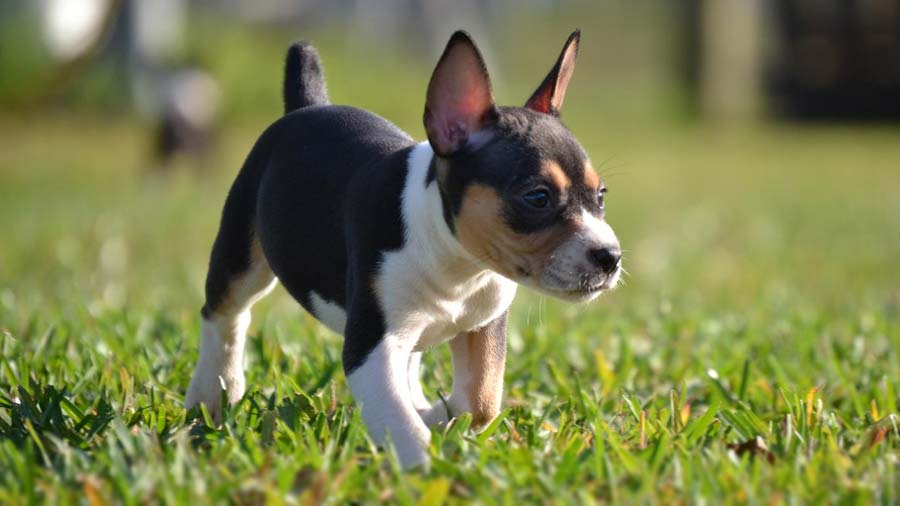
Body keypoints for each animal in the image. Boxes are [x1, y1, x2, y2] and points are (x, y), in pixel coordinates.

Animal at [186, 29, 624, 468]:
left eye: (601, 196)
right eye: (538, 197)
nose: (611, 257)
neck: (459, 265)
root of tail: (309, 105)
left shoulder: (485, 324)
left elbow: (480, 400)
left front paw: (438, 417)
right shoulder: (370, 347)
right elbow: (402, 423)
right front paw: (424, 468)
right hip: (241, 259)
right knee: (225, 316)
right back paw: (213, 395)